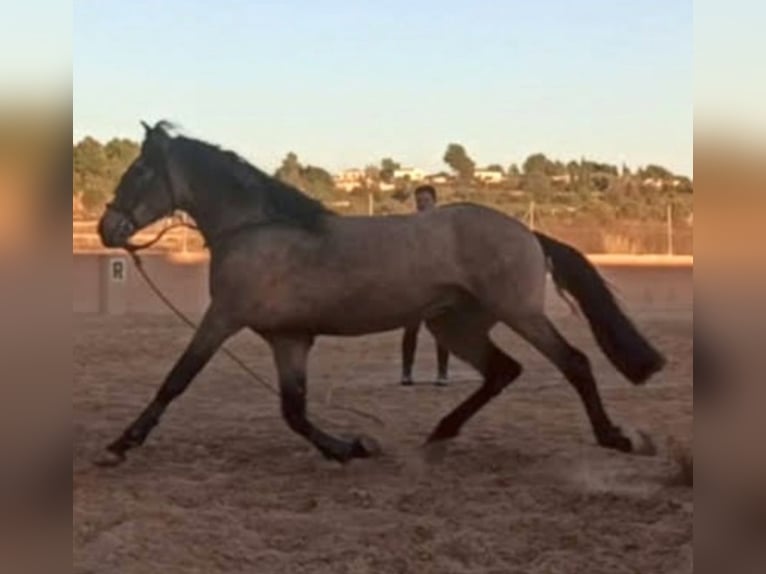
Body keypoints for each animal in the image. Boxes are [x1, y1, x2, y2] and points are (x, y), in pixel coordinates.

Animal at [95, 120, 665, 466]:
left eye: (140, 171)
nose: (107, 228)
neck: (257, 229)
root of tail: (526, 232)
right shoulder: (288, 339)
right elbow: (294, 411)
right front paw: (350, 447)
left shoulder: (222, 320)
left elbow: (176, 381)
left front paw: (119, 445)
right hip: (453, 324)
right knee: (503, 371)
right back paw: (441, 432)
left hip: (519, 313)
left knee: (574, 363)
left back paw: (613, 437)